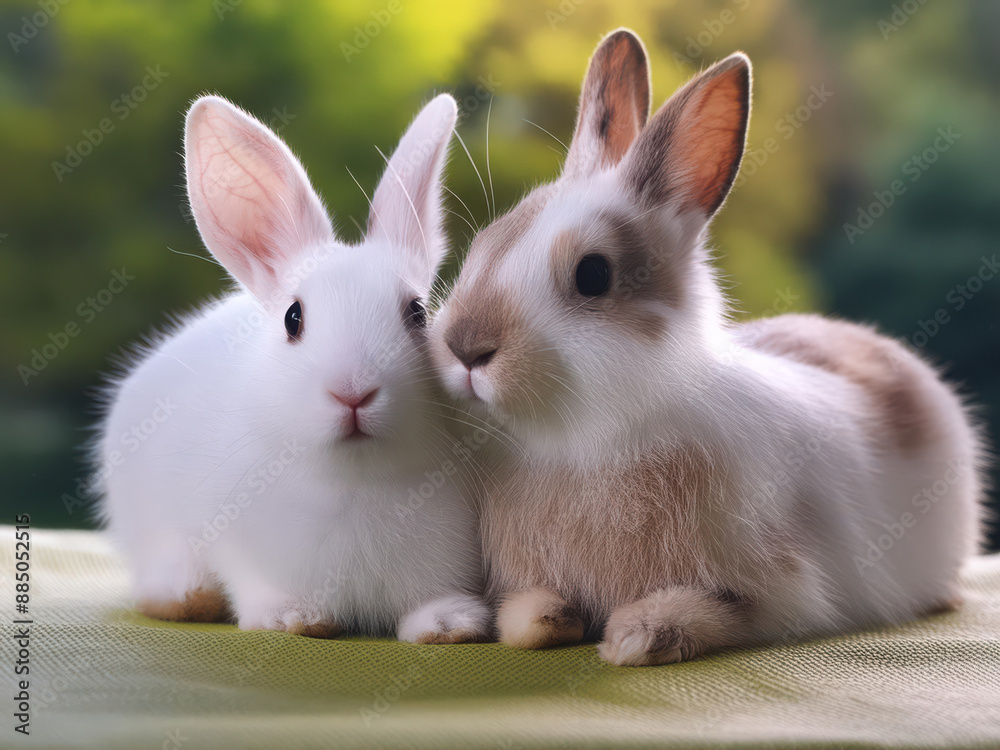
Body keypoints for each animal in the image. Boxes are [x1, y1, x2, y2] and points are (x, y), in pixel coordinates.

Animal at [96, 92, 492, 643]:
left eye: (417, 313)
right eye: (292, 317)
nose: (353, 392)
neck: (355, 481)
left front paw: (449, 624)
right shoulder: (236, 546)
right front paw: (293, 618)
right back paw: (184, 595)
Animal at [428, 29, 986, 665]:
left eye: (593, 275)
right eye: (485, 242)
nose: (465, 347)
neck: (576, 439)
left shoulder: (781, 593)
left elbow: (720, 613)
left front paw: (635, 637)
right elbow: (527, 612)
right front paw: (545, 622)